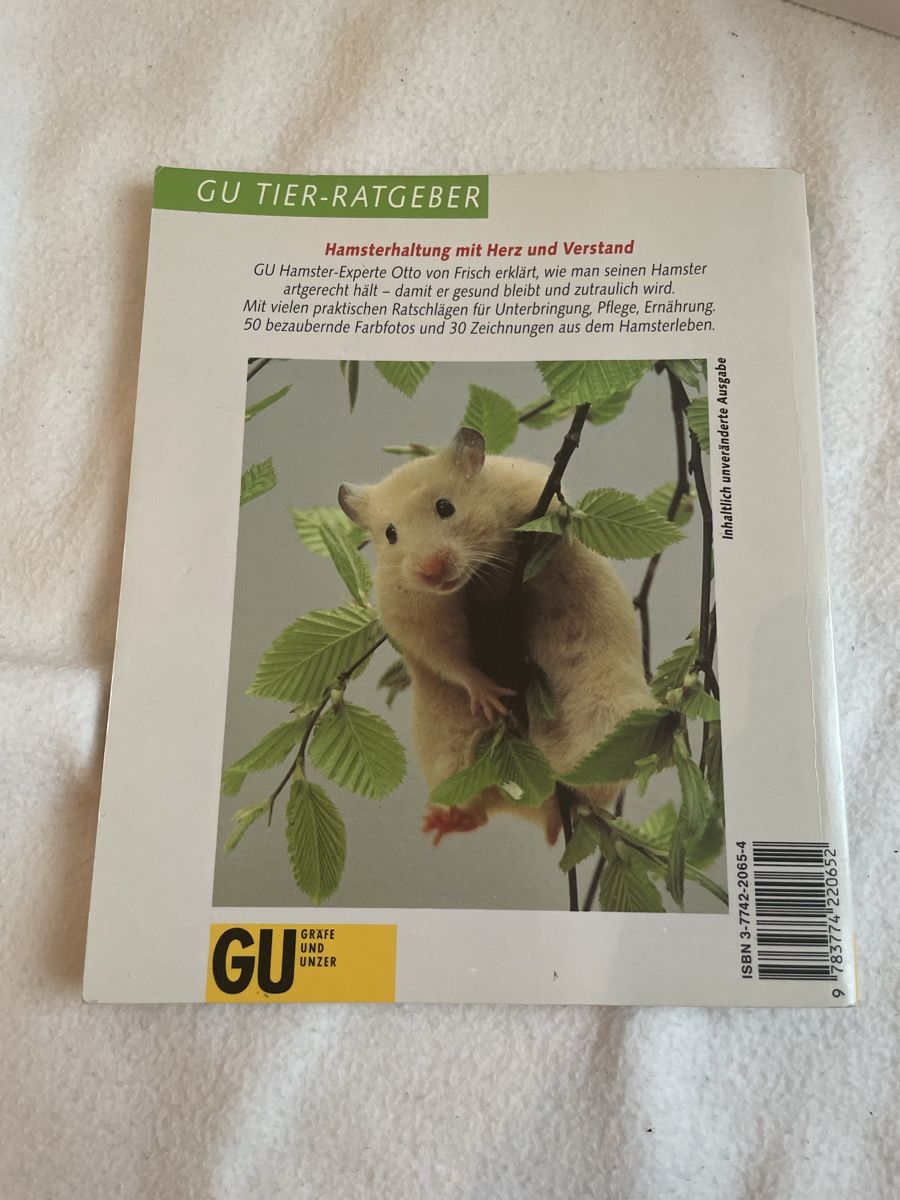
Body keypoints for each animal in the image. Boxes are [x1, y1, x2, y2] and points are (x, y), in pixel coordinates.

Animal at [339, 427, 651, 843]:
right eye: (390, 534)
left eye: (445, 507)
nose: (431, 570)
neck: (476, 573)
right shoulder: (414, 615)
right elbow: (450, 659)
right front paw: (491, 698)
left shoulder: (540, 499)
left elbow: (554, 535)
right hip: (445, 749)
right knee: (480, 804)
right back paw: (440, 823)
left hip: (610, 718)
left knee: (591, 784)